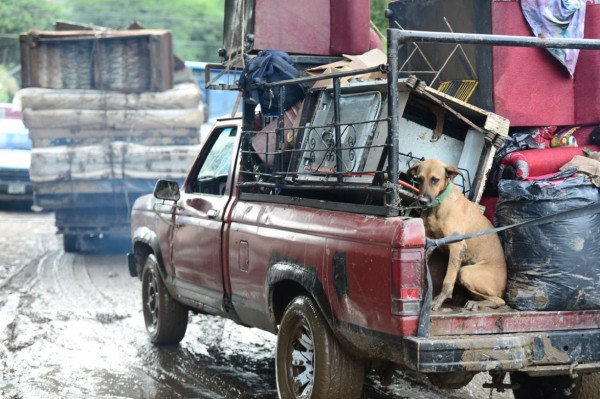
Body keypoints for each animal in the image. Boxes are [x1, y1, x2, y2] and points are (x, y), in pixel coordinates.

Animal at [408, 159, 506, 312]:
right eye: (419, 179)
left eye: (435, 180)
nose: (422, 201)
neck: (439, 204)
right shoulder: (429, 242)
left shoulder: (457, 247)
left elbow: (448, 281)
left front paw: (439, 301)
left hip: (465, 272)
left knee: (500, 300)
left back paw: (476, 303)